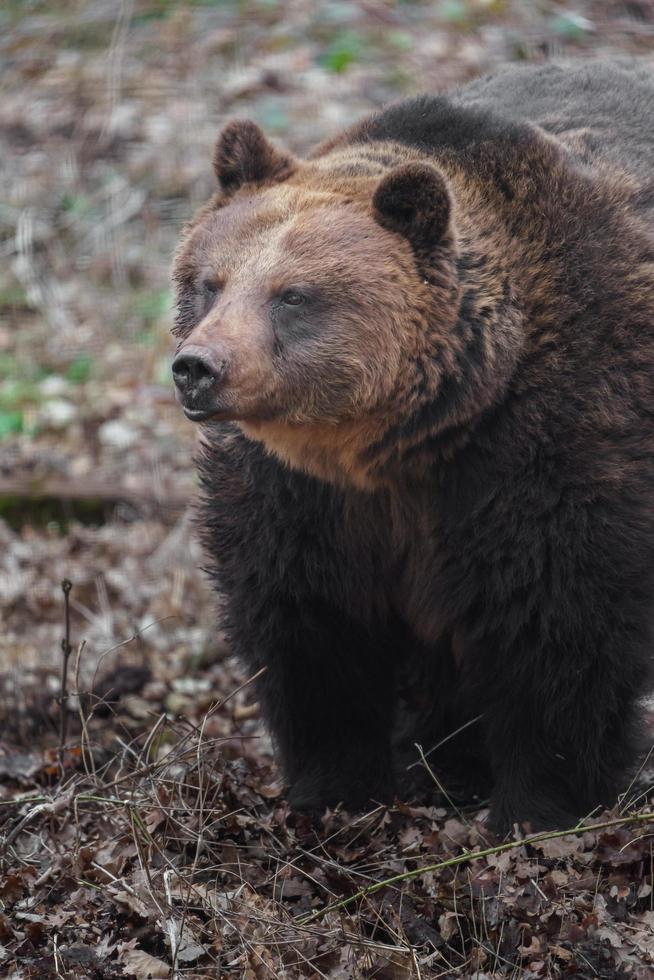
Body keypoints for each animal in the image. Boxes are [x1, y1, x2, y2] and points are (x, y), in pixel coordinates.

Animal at [172, 61, 652, 832]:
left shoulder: (554, 446)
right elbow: (309, 627)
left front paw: (539, 805)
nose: (198, 366)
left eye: (292, 295)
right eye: (210, 282)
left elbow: (559, 627)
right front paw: (336, 790)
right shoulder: (300, 498)